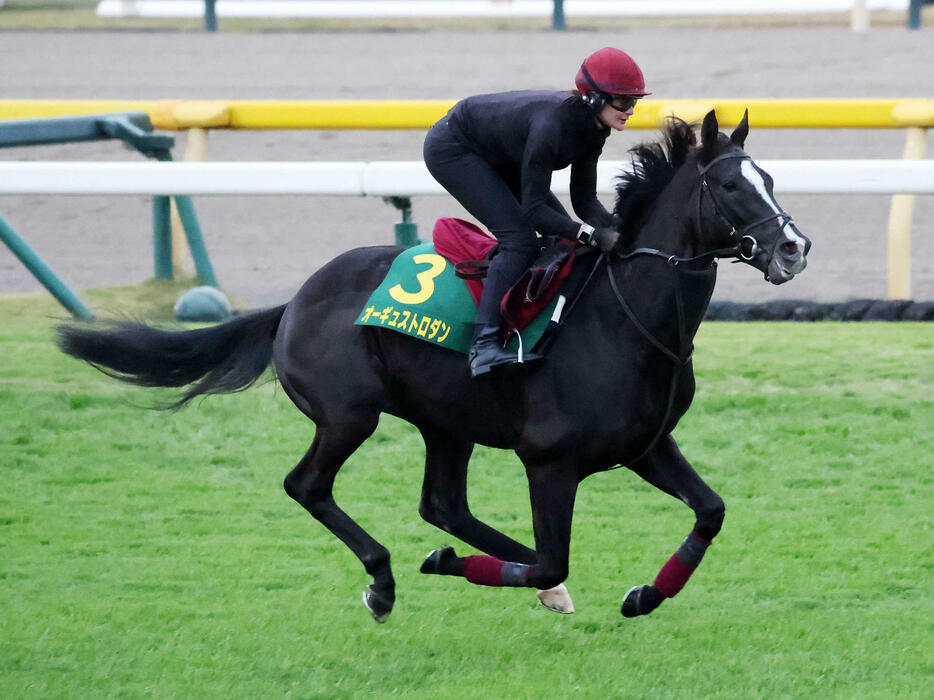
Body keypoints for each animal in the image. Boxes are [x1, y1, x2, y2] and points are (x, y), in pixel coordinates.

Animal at [58, 110, 812, 624]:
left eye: (770, 178)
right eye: (727, 184)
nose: (795, 247)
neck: (627, 318)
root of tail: (295, 299)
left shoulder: (646, 444)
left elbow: (710, 511)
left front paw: (646, 593)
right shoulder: (551, 460)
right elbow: (555, 550)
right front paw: (512, 573)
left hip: (445, 422)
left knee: (443, 504)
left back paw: (511, 577)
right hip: (348, 414)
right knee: (309, 485)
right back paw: (387, 580)